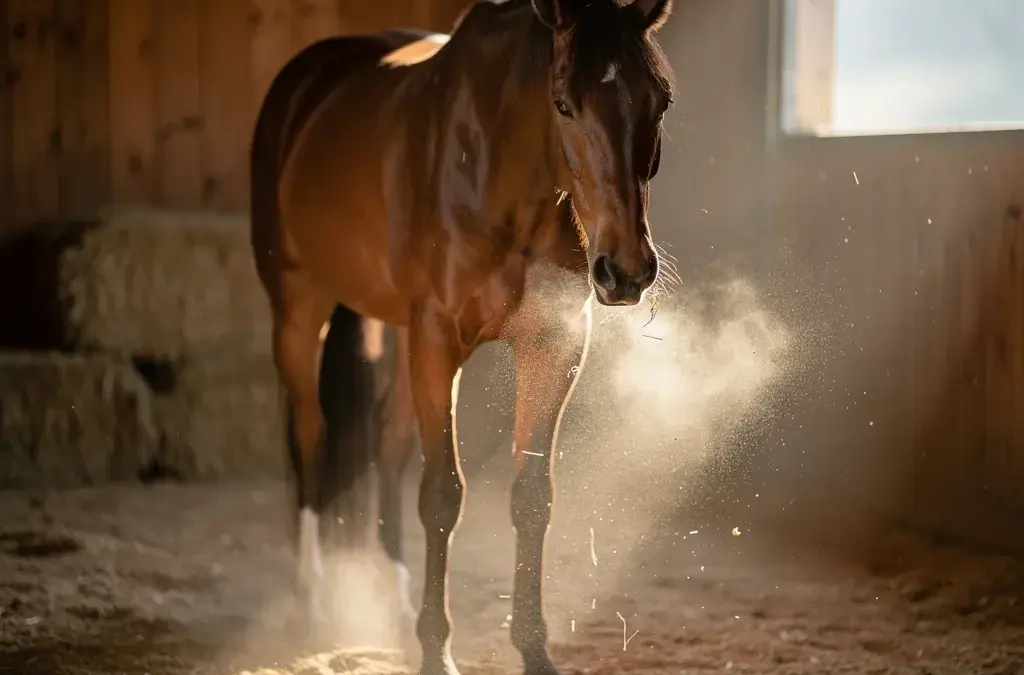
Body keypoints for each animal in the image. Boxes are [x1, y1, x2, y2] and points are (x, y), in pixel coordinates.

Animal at [249, 1, 675, 673]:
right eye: (563, 103)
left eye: (660, 101)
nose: (626, 269)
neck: (501, 175)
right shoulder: (436, 340)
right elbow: (442, 495)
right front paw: (436, 652)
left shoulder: (552, 346)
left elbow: (532, 498)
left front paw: (533, 650)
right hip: (298, 310)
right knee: (309, 434)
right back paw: (311, 597)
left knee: (390, 440)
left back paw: (395, 597)